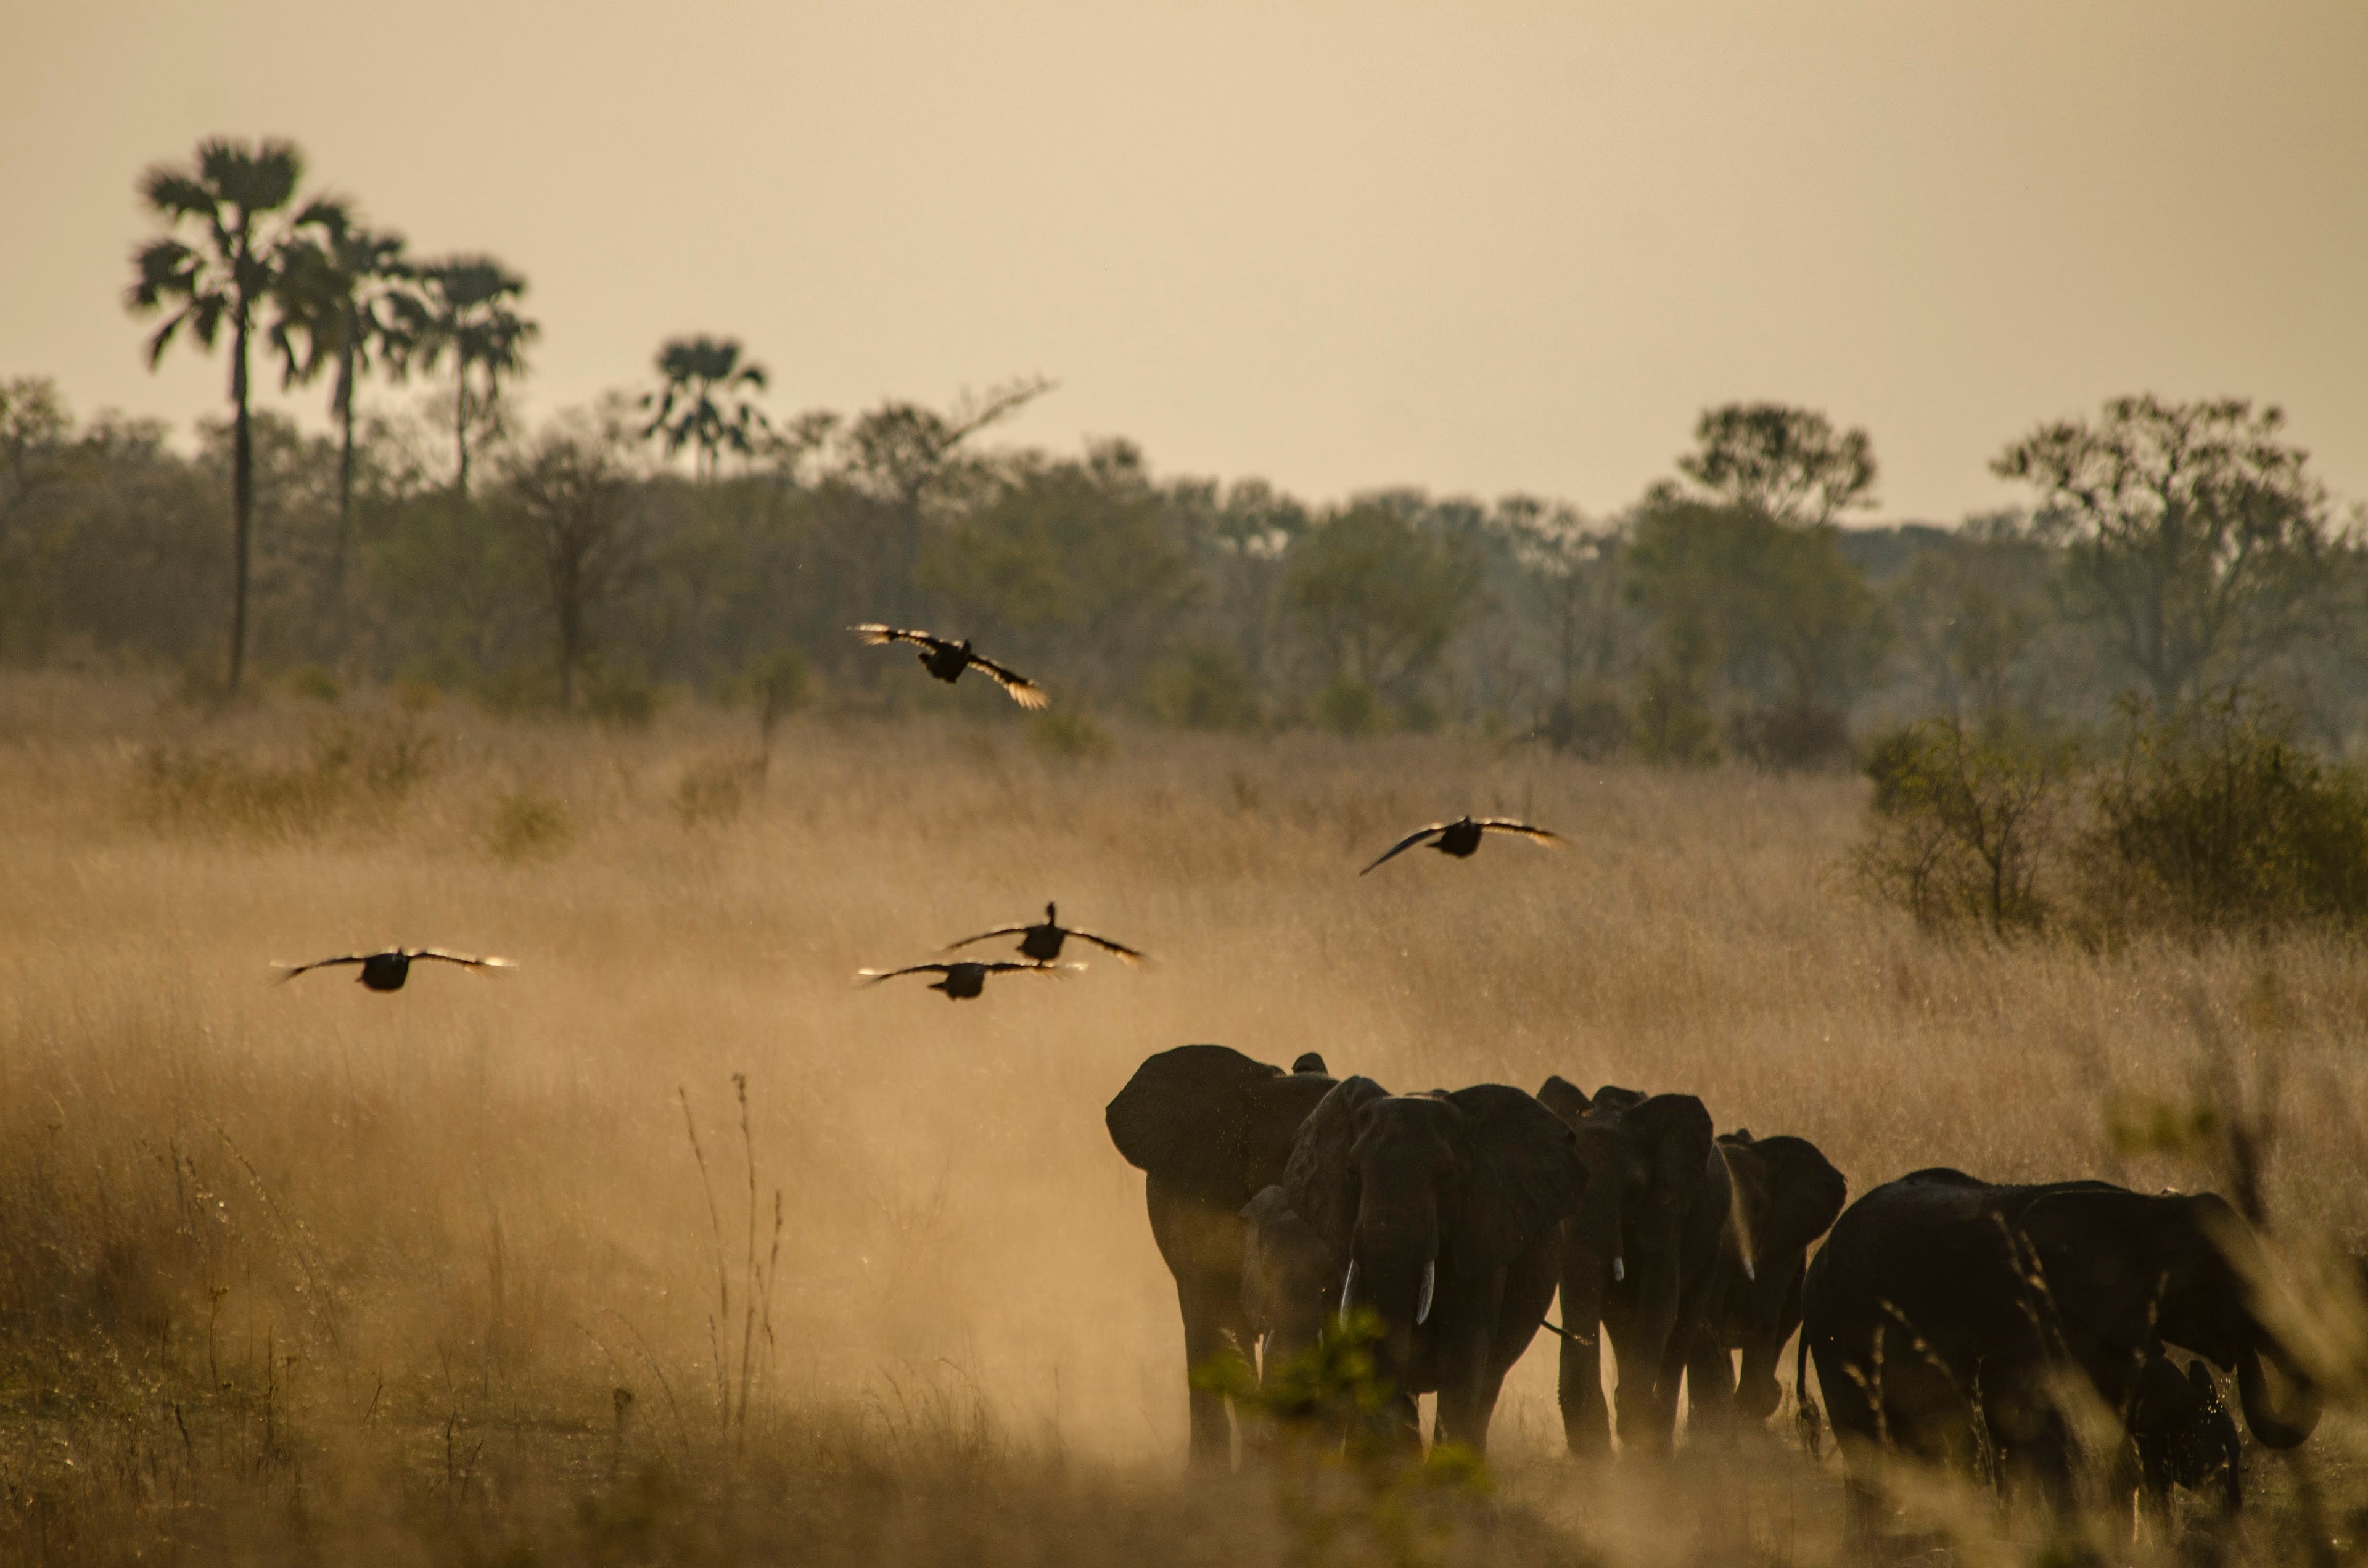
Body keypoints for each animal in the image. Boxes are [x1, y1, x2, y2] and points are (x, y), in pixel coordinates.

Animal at [1536, 1077, 1724, 1456]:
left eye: (1633, 1190)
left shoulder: (1668, 1207)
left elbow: (1660, 1303)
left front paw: (1640, 1428)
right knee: (1621, 1322)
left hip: (1713, 1238)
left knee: (1683, 1321)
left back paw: (1659, 1442)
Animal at [1800, 1169, 2319, 1536]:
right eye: (2216, 1282)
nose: (2237, 1354)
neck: (2138, 1207)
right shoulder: (2024, 1311)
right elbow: (2040, 1427)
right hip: (1839, 1333)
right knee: (1867, 1444)